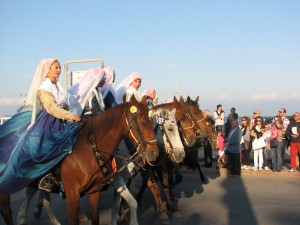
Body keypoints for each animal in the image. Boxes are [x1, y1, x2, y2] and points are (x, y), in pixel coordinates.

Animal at [0, 96, 159, 225]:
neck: (90, 149)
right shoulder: (73, 192)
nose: (154, 153)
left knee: (42, 199)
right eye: (143, 122)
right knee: (8, 210)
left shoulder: (97, 189)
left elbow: (123, 205)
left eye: (152, 121)